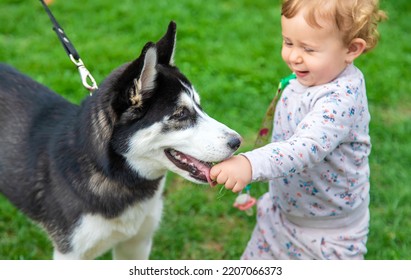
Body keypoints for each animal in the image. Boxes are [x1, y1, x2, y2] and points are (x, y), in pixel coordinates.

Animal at [0, 22, 241, 260]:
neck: (117, 175)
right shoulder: (70, 254)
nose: (237, 141)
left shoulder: (137, 244)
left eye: (200, 106)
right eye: (180, 114)